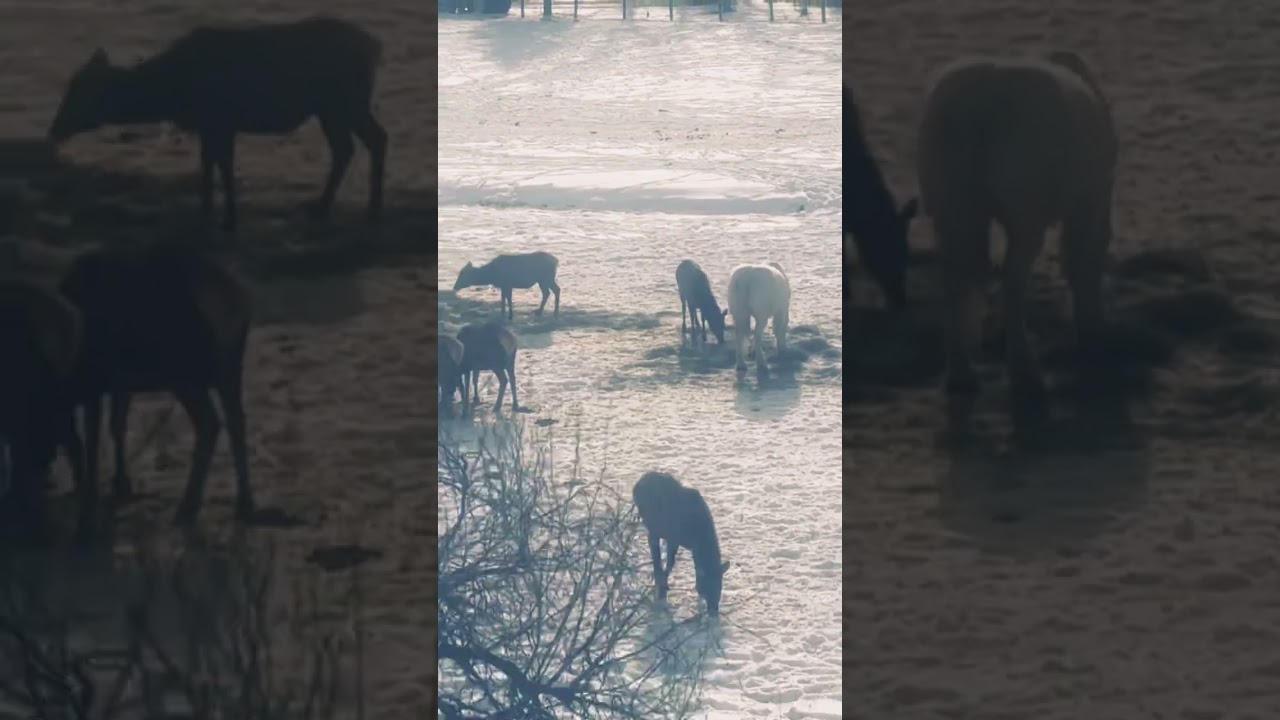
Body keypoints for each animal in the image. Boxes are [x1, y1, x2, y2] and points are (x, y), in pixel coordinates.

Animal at [47, 15, 388, 233]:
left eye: (79, 91)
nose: (53, 130)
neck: (168, 92)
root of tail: (375, 47)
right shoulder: (209, 126)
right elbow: (208, 163)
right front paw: (207, 210)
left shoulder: (221, 122)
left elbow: (222, 165)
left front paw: (228, 219)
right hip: (334, 108)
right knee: (353, 146)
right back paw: (334, 207)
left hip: (343, 102)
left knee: (370, 140)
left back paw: (363, 209)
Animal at [632, 471, 731, 617]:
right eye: (707, 586)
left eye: (720, 585)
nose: (714, 609)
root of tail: (639, 481)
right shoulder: (674, 538)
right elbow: (671, 562)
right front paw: (662, 590)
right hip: (651, 526)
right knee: (654, 551)